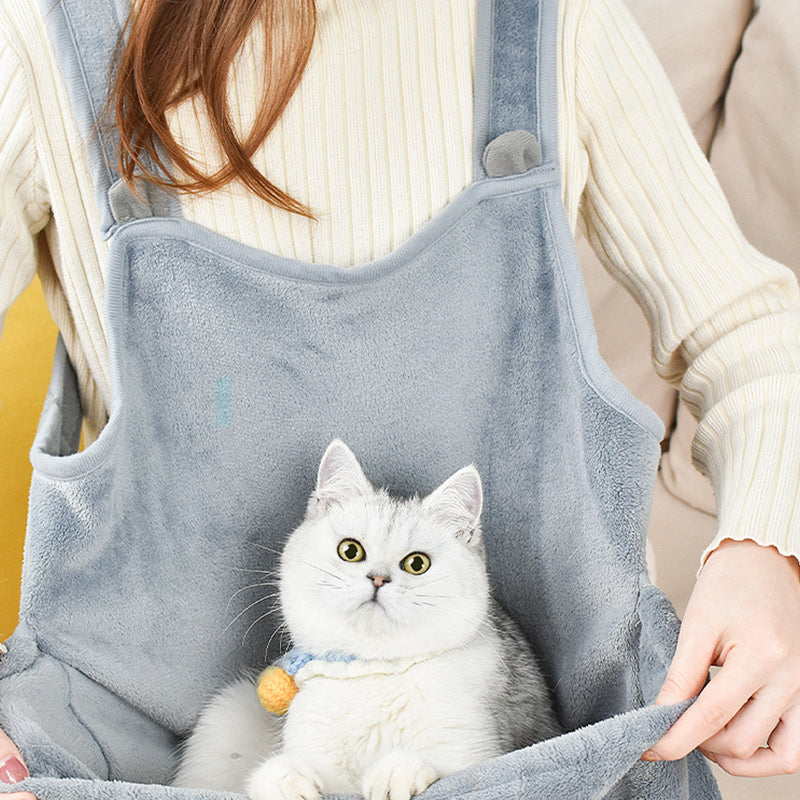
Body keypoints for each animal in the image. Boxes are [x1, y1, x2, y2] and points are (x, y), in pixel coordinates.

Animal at [175, 440, 564, 800]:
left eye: (417, 563)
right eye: (350, 551)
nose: (378, 579)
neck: (373, 671)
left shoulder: (479, 751)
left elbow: (450, 769)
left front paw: (398, 773)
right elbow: (278, 774)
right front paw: (286, 781)